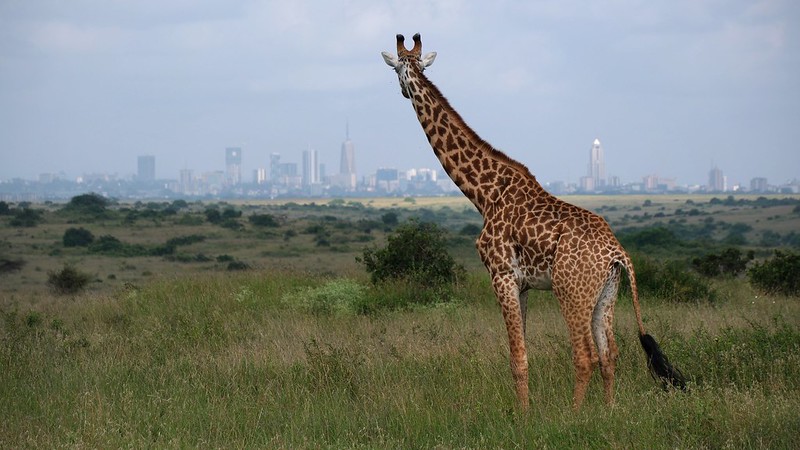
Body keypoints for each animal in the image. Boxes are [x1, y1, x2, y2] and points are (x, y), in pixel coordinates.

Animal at [384, 33, 684, 410]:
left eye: (398, 71)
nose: (403, 92)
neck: (485, 194)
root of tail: (619, 255)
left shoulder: (501, 276)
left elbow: (517, 358)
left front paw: (522, 416)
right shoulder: (522, 284)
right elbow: (522, 355)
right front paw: (525, 410)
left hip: (571, 291)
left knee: (585, 354)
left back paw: (574, 414)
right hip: (607, 295)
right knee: (609, 353)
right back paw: (608, 410)